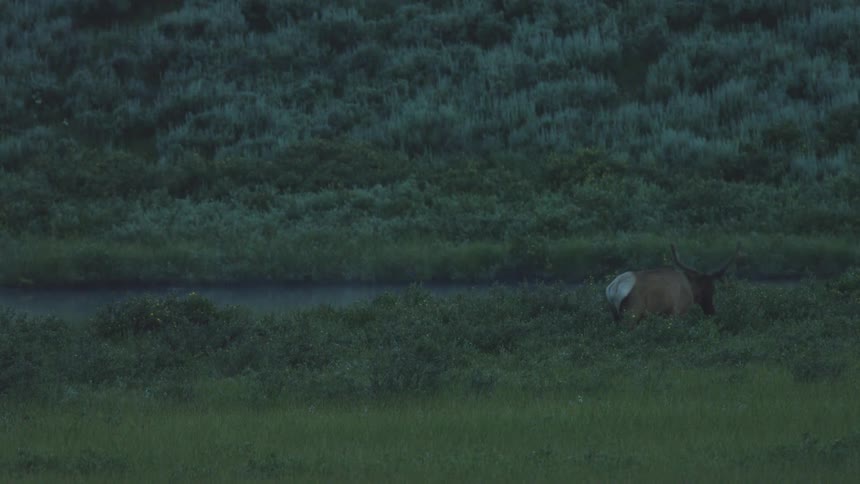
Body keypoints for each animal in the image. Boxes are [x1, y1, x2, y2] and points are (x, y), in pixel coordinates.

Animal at [605, 243, 740, 327]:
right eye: (711, 289)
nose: (711, 312)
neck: (691, 288)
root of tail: (613, 288)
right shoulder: (678, 312)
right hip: (632, 312)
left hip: (614, 315)